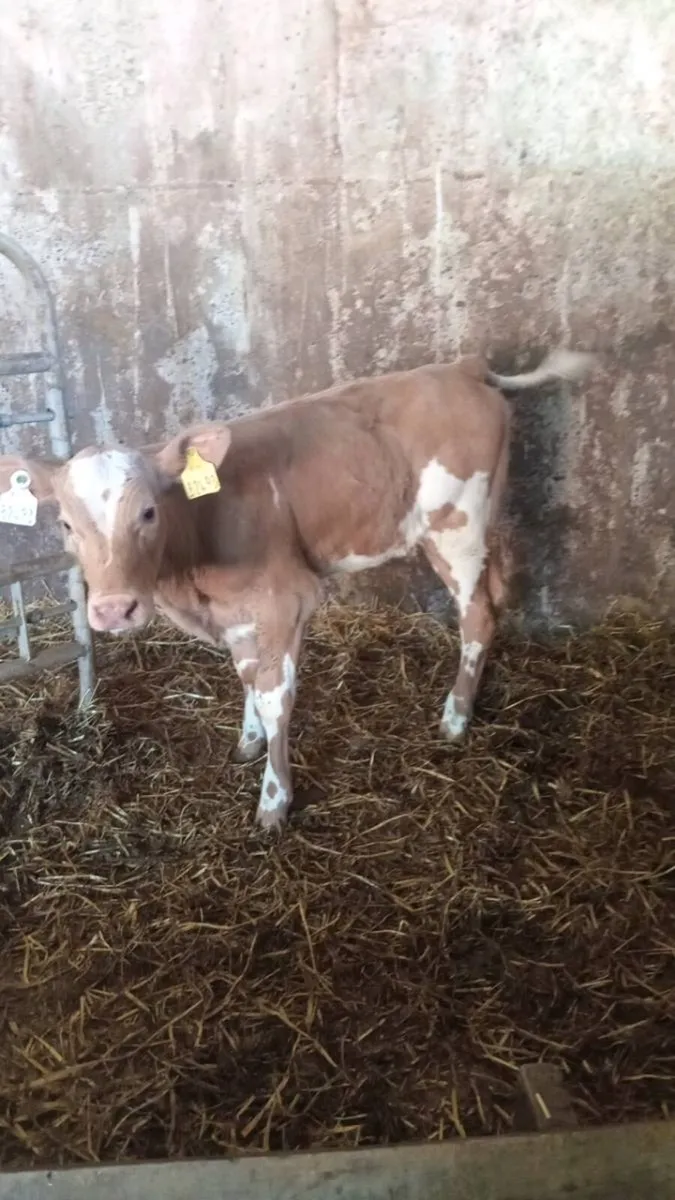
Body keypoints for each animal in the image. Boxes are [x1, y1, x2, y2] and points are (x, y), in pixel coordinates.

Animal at [0, 346, 594, 829]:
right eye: (65, 525)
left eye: (148, 512)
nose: (113, 610)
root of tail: (461, 368)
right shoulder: (237, 611)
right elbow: (245, 675)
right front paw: (247, 742)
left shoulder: (285, 599)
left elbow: (273, 697)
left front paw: (274, 799)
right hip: (485, 523)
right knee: (498, 589)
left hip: (456, 529)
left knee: (477, 616)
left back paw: (455, 718)